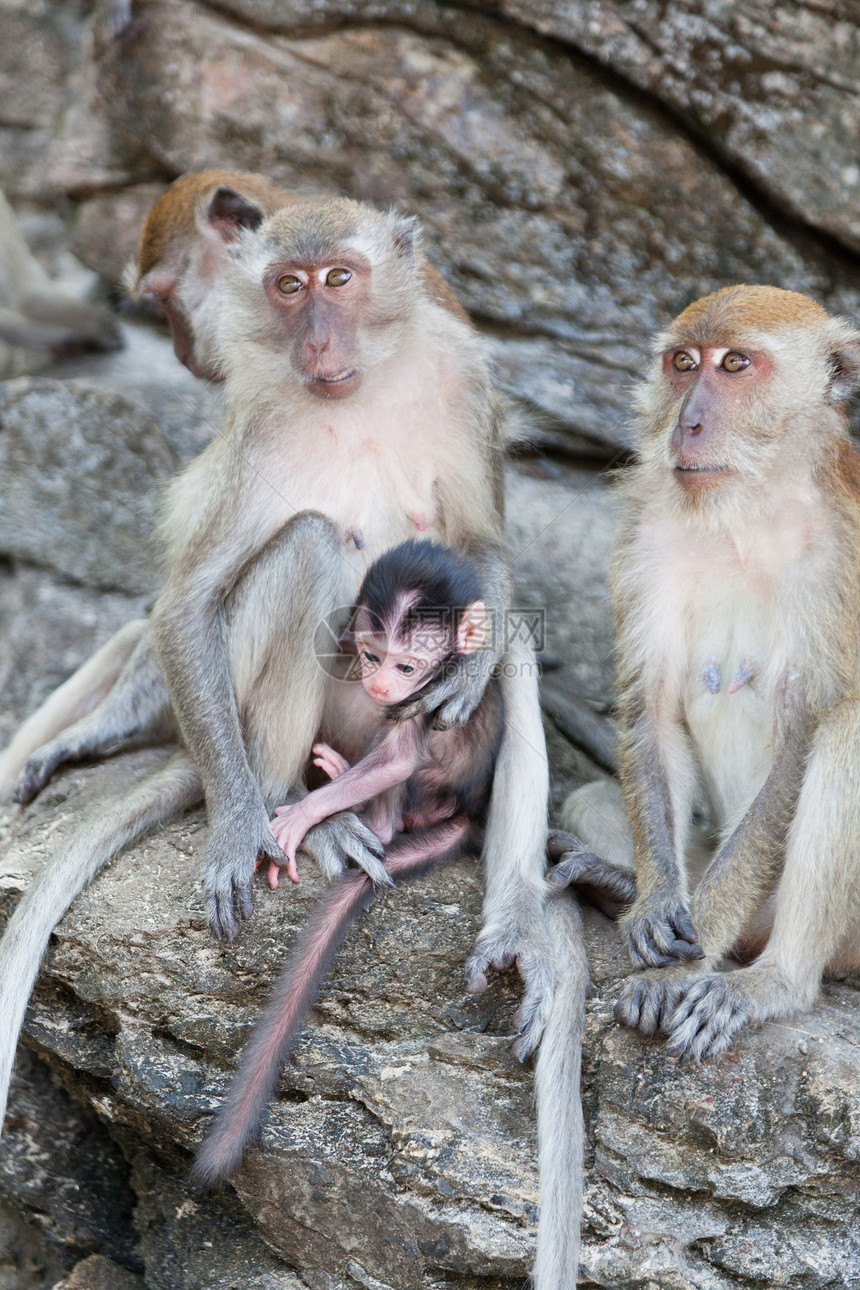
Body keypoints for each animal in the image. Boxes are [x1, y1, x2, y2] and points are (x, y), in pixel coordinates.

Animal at [193, 539, 505, 1181]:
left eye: (406, 666)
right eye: (371, 654)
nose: (381, 686)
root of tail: (467, 812)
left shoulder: (426, 699)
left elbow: (399, 759)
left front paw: (299, 816)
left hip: (431, 790)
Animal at [595, 287, 860, 1062]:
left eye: (736, 364)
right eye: (684, 364)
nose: (689, 421)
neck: (748, 509)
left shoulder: (838, 562)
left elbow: (804, 737)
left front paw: (683, 965)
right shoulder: (646, 537)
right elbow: (650, 711)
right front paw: (658, 908)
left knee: (850, 727)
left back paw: (772, 980)